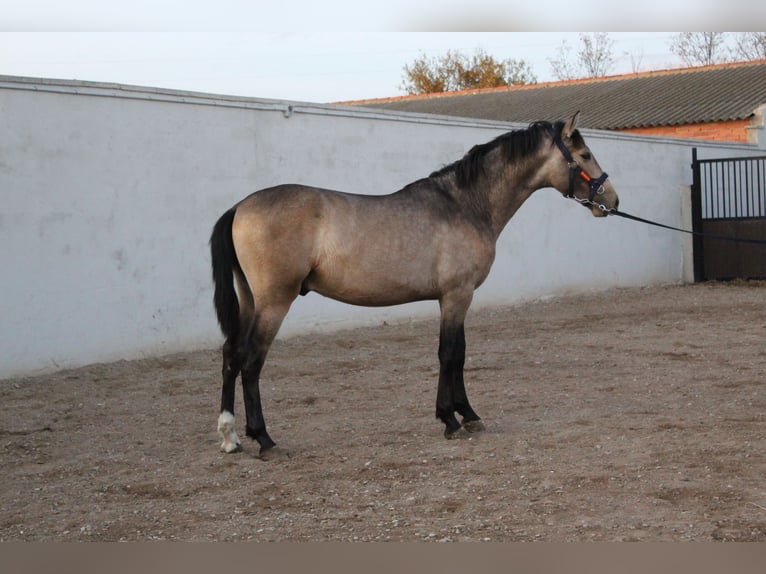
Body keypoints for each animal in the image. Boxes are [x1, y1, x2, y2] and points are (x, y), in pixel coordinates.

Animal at [209, 112, 618, 458]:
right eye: (585, 154)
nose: (612, 201)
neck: (464, 204)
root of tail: (239, 207)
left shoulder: (454, 297)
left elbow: (459, 353)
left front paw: (467, 414)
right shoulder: (457, 295)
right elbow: (450, 354)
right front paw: (451, 419)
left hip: (251, 301)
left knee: (231, 355)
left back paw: (230, 437)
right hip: (274, 303)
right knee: (251, 362)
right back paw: (264, 439)